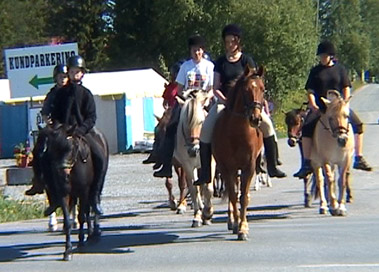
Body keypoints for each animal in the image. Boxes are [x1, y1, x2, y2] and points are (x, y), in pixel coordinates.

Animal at [42, 124, 109, 260]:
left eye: (71, 148)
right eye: (52, 150)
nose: (63, 176)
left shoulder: (84, 191)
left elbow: (81, 217)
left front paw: (81, 242)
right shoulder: (64, 193)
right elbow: (67, 221)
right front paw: (68, 250)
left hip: (94, 187)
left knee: (94, 204)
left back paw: (95, 233)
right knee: (87, 210)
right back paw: (90, 235)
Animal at [174, 90, 215, 227]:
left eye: (201, 122)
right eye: (183, 124)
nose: (193, 150)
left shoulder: (210, 163)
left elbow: (208, 187)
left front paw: (208, 213)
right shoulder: (187, 166)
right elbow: (193, 189)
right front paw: (197, 216)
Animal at [212, 66, 266, 240]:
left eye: (263, 89)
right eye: (246, 90)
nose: (255, 119)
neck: (237, 133)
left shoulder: (249, 167)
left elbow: (243, 197)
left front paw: (243, 228)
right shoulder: (226, 168)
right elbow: (234, 195)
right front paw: (236, 225)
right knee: (231, 193)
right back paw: (231, 221)